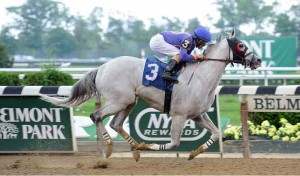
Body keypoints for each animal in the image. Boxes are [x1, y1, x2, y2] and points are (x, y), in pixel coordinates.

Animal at [41, 28, 262, 162]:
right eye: (241, 45)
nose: (258, 60)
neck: (200, 77)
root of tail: (102, 67)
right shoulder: (179, 115)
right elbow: (173, 143)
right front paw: (148, 145)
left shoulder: (198, 115)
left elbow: (216, 133)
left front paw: (194, 153)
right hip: (119, 100)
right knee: (96, 116)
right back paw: (112, 147)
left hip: (129, 101)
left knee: (116, 124)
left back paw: (135, 151)